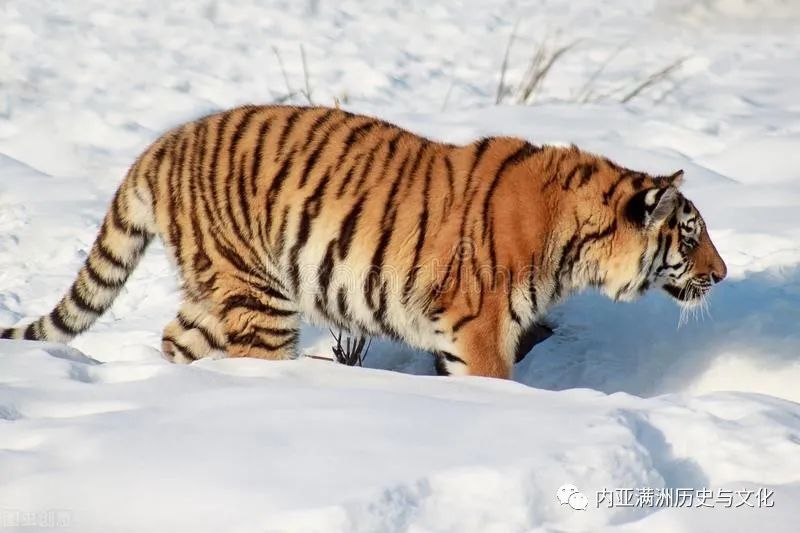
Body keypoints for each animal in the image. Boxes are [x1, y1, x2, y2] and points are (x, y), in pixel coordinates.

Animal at [0, 105, 724, 378]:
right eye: (689, 236)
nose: (721, 273)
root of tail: (164, 142)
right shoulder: (481, 326)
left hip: (218, 290)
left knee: (177, 339)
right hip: (262, 298)